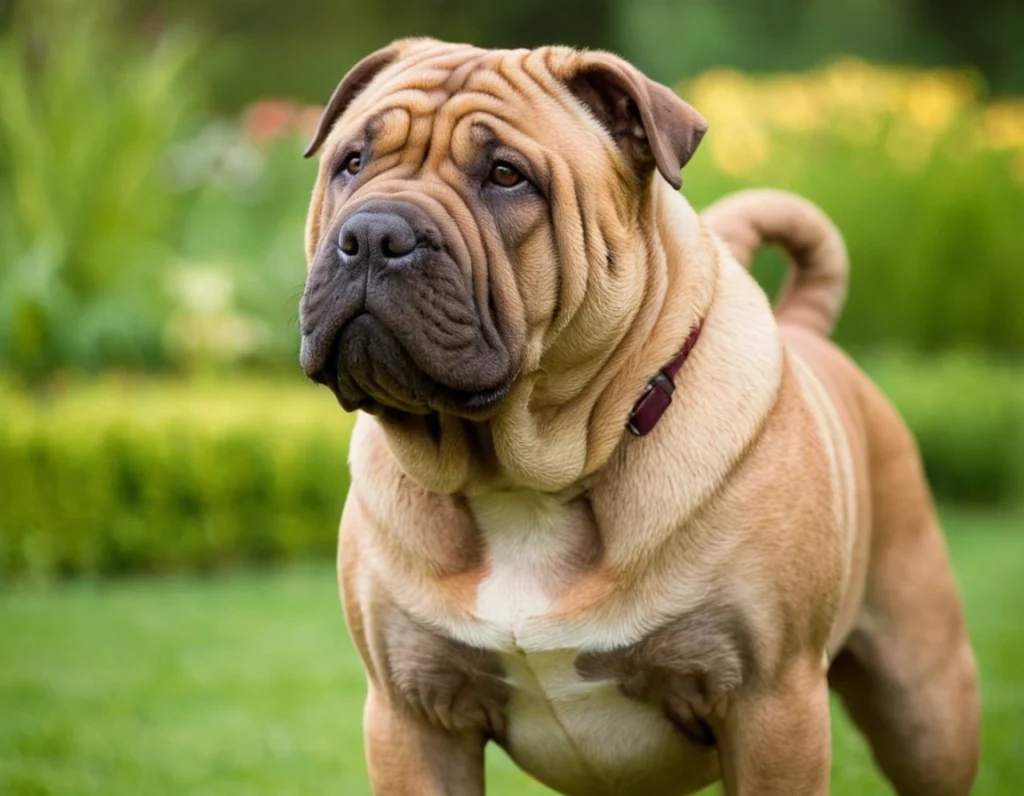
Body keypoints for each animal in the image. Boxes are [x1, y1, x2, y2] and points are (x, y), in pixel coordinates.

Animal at [299, 38, 983, 794]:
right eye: (351, 162)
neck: (521, 481)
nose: (372, 233)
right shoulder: (413, 714)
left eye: (506, 176)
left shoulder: (772, 704)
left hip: (925, 707)